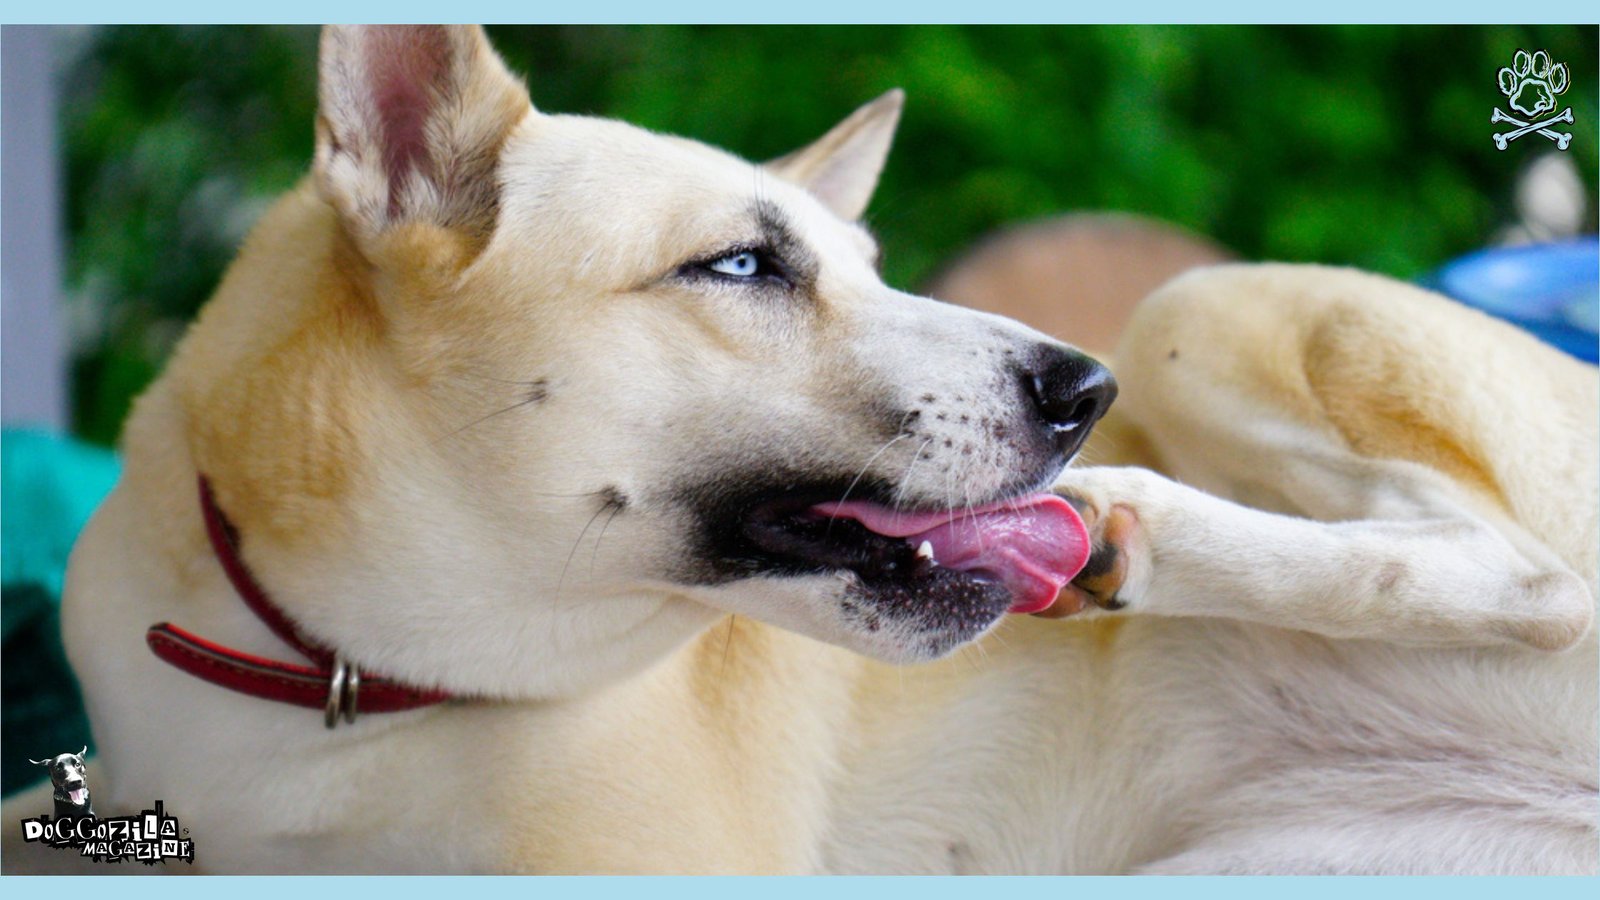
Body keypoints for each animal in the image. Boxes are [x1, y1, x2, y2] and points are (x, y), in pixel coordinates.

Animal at [6, 26, 1593, 871]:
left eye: (877, 268)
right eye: (739, 266)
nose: (1081, 390)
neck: (335, 684)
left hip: (1191, 307)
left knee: (1535, 579)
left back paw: (1140, 526)